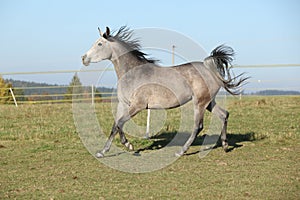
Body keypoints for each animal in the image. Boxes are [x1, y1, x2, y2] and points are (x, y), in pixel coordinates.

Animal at [82, 26, 246, 158]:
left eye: (100, 43)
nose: (84, 58)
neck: (133, 73)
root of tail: (209, 69)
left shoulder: (138, 106)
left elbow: (120, 124)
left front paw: (129, 147)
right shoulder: (123, 104)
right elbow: (115, 125)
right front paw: (104, 151)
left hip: (199, 103)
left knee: (198, 126)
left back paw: (181, 151)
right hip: (209, 102)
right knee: (224, 114)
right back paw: (225, 145)